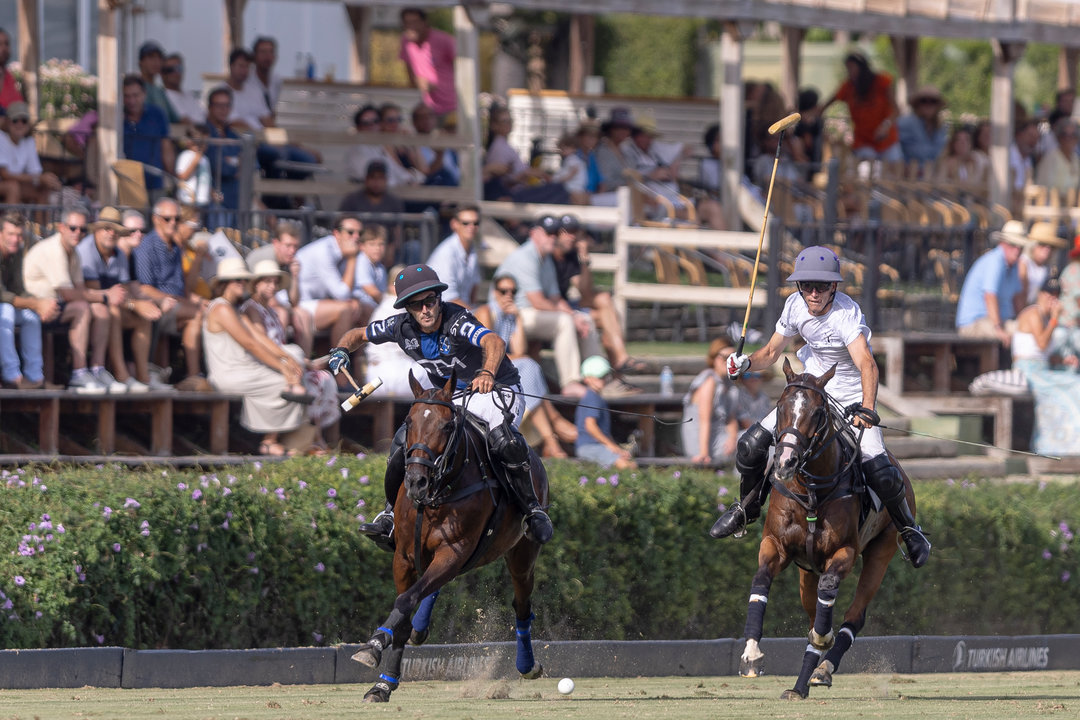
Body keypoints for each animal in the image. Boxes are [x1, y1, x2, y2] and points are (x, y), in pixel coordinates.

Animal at [349, 371, 544, 703]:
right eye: (409, 420)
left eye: (447, 426)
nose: (416, 482)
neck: (437, 495)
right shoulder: (404, 557)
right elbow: (405, 608)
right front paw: (382, 682)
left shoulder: (454, 550)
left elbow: (405, 600)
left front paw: (374, 645)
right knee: (432, 588)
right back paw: (420, 629)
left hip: (522, 554)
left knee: (522, 607)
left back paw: (528, 665)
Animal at [738, 358, 907, 699]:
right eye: (780, 406)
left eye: (817, 412)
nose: (785, 463)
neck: (812, 491)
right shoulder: (775, 544)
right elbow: (760, 580)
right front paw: (751, 653)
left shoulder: (844, 552)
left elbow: (827, 604)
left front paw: (821, 647)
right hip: (806, 572)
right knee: (814, 615)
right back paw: (803, 680)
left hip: (881, 550)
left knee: (851, 616)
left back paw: (822, 669)